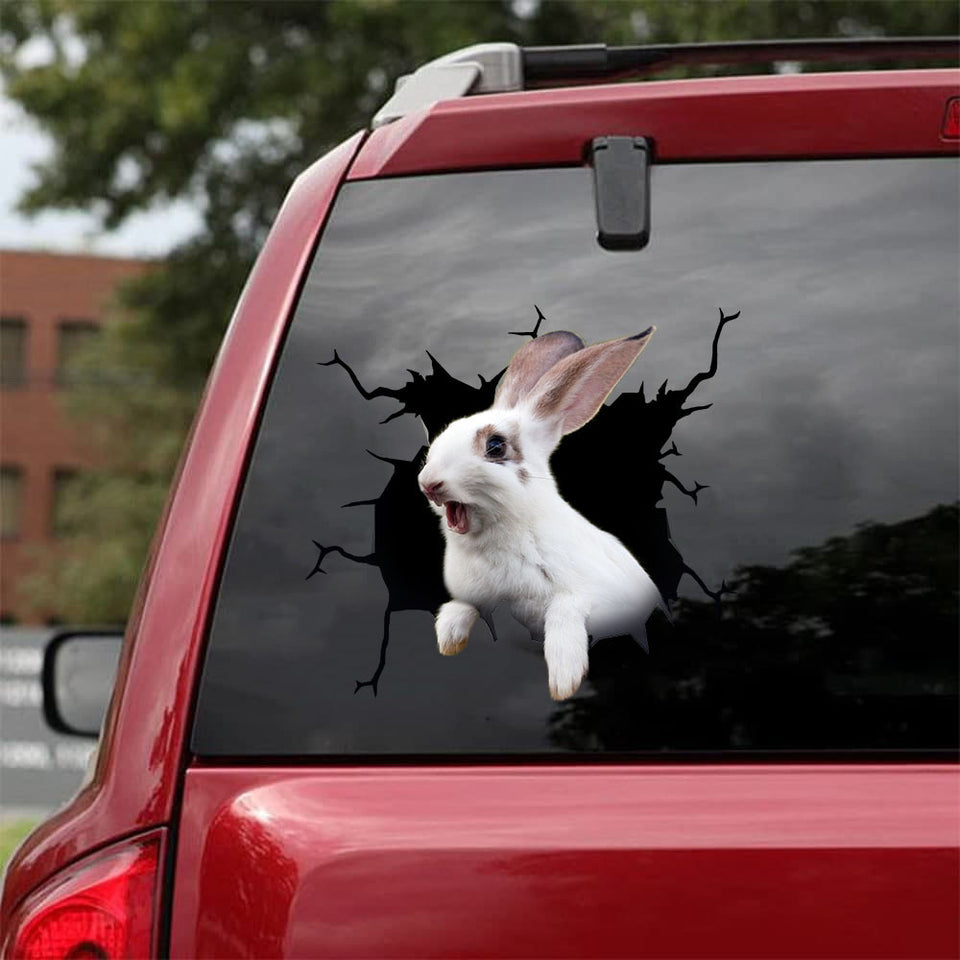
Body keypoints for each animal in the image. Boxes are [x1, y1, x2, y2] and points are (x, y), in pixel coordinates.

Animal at [417, 326, 666, 700]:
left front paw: (564, 679)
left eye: (495, 446)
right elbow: (462, 605)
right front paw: (449, 637)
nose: (428, 483)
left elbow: (564, 610)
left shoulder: (601, 599)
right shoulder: (475, 595)